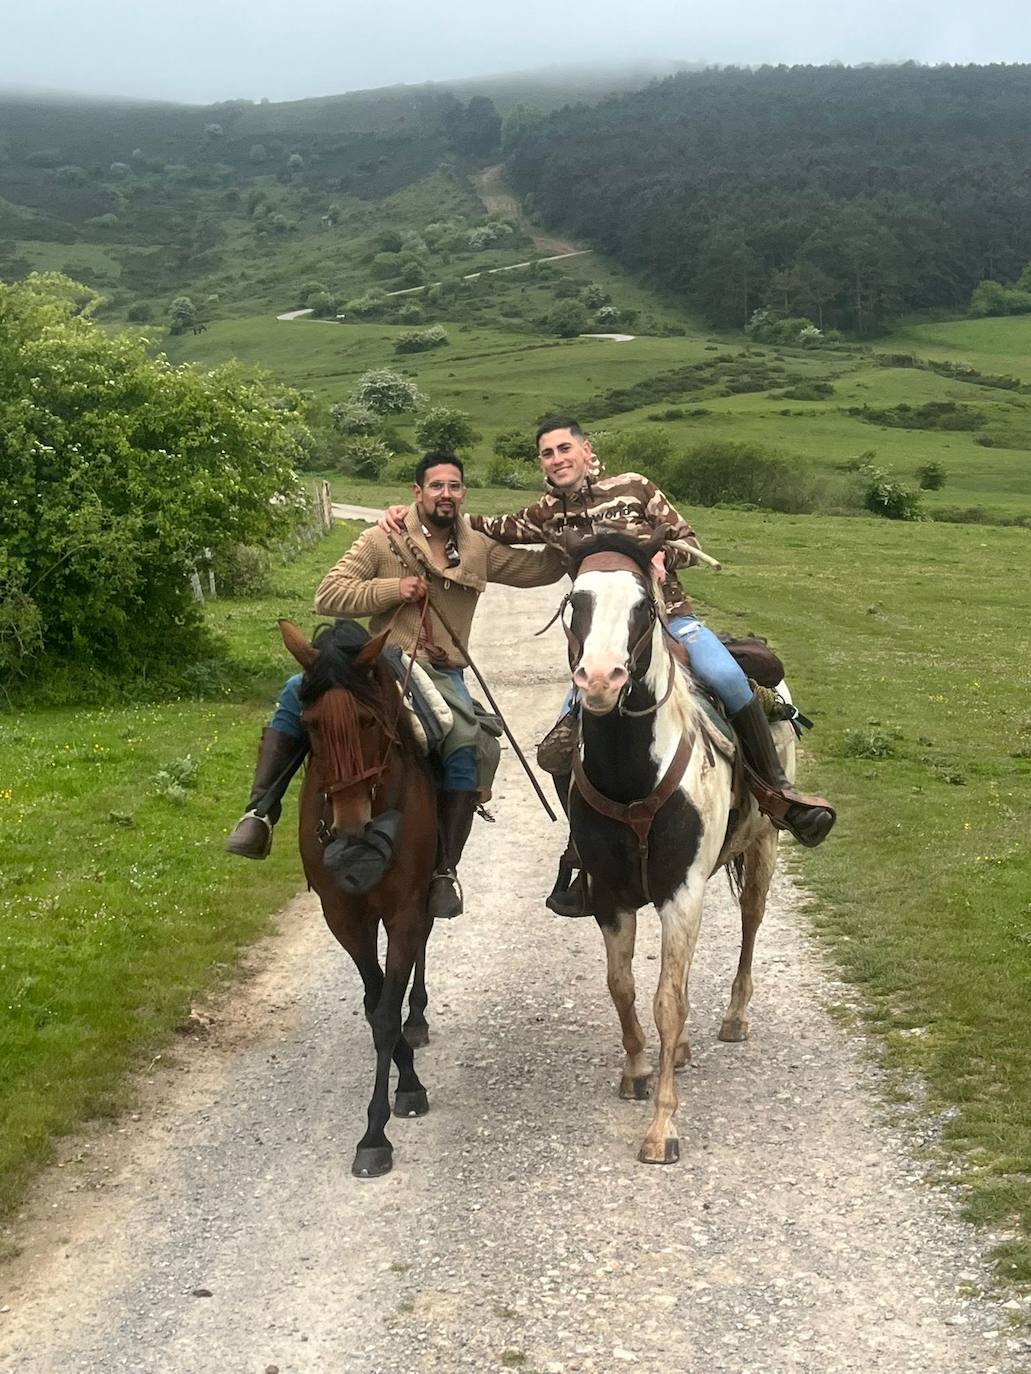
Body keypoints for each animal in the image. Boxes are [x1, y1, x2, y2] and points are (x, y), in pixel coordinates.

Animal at [279, 618, 437, 1176]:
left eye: (368, 721)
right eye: (310, 726)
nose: (351, 829)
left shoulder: (405, 907)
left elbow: (386, 1012)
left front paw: (378, 1128)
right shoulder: (344, 917)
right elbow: (373, 1005)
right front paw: (403, 1080)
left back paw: (418, 1016)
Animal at [560, 530, 786, 1165]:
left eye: (643, 607)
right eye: (576, 601)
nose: (601, 681)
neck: (633, 773)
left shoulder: (681, 893)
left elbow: (669, 1001)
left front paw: (663, 1126)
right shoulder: (611, 895)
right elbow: (624, 987)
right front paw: (638, 1070)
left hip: (762, 848)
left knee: (750, 924)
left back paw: (734, 1016)